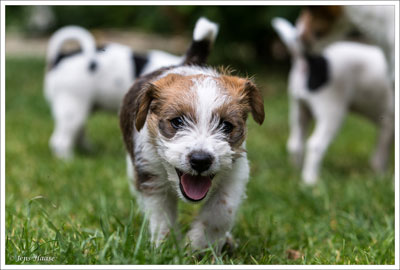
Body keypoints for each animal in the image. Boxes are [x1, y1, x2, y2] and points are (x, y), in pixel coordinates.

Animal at [119, 17, 266, 251]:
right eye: (177, 122)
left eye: (226, 126)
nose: (200, 160)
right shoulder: (151, 176)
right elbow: (161, 216)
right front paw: (166, 247)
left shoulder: (235, 173)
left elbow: (220, 211)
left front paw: (198, 244)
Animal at [272, 17, 394, 186]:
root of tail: (309, 59)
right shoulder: (388, 125)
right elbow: (381, 157)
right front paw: (382, 178)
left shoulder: (386, 126)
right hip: (331, 112)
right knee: (315, 145)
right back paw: (310, 182)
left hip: (299, 109)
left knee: (295, 144)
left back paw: (295, 172)